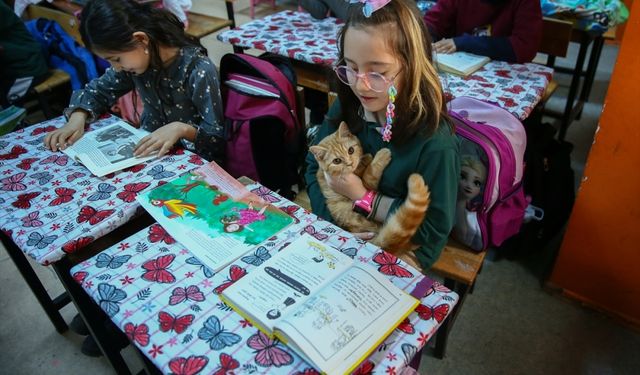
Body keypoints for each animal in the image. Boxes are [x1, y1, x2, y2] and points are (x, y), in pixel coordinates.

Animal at [308, 122, 430, 254]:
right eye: (337, 161)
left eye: (351, 150)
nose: (350, 163)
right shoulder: (366, 183)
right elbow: (370, 172)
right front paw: (378, 156)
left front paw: (365, 158)